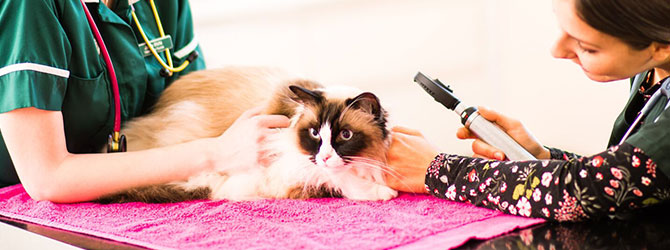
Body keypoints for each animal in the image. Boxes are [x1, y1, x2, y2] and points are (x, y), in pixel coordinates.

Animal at [100, 66, 400, 203]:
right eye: (315, 133)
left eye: (345, 135)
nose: (324, 156)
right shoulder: (286, 168)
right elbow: (336, 180)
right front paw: (382, 192)